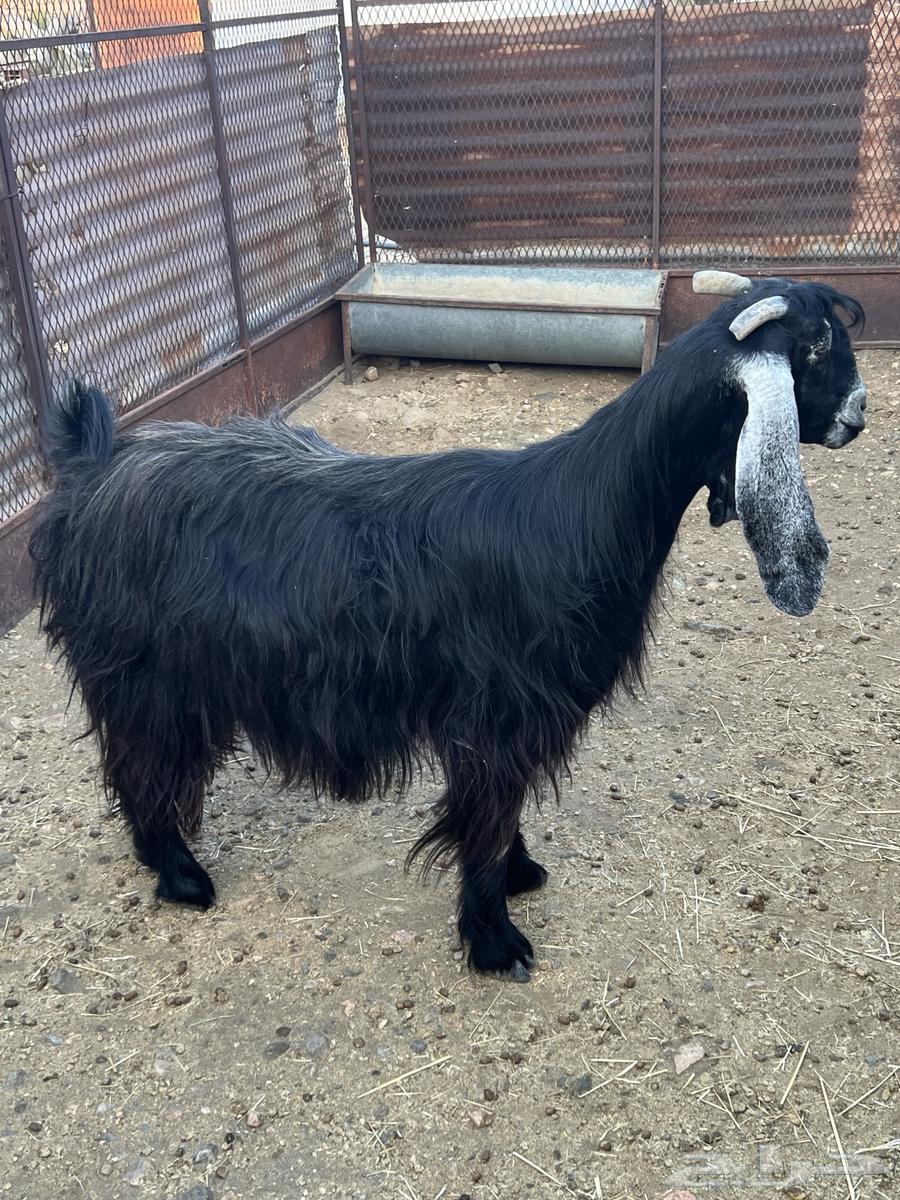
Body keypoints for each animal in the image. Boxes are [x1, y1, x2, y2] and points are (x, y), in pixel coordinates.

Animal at [30, 271, 867, 981]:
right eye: (812, 350)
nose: (858, 415)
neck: (587, 510)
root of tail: (92, 467)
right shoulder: (497, 716)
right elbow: (486, 821)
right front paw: (495, 942)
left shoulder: (513, 723)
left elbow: (502, 813)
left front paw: (521, 876)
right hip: (145, 678)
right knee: (138, 769)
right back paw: (180, 876)